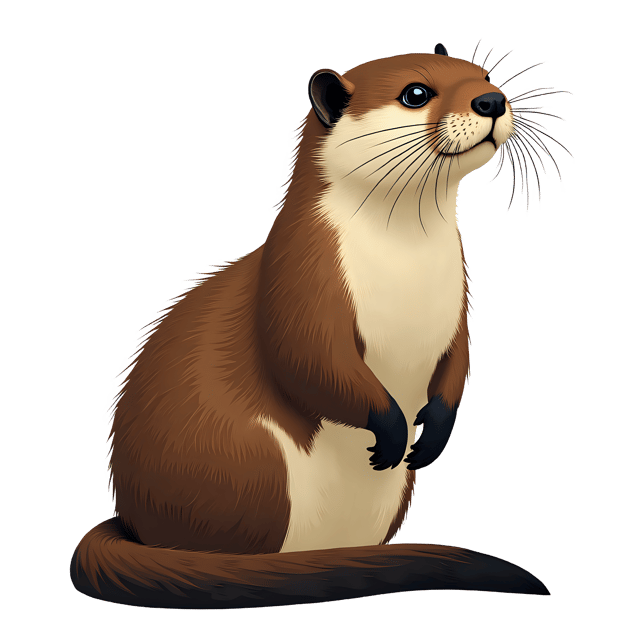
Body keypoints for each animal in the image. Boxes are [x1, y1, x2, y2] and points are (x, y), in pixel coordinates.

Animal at [71, 41, 572, 609]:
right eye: (416, 93)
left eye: (483, 75)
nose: (491, 100)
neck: (406, 271)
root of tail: (134, 520)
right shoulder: (301, 285)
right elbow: (307, 361)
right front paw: (392, 431)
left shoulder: (455, 313)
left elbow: (457, 365)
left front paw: (431, 435)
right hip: (249, 462)